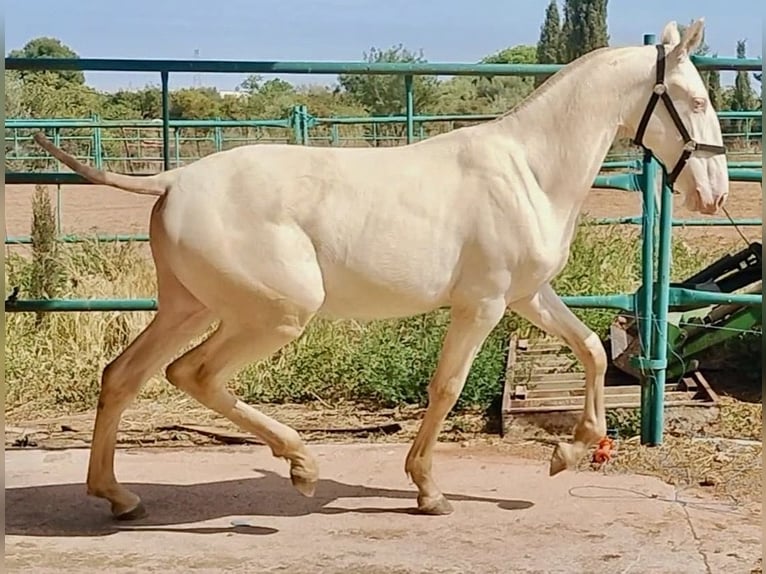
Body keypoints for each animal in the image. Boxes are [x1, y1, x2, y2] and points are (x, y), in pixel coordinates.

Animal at [34, 19, 732, 520]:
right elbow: (446, 387)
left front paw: (570, 451)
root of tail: (173, 181)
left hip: (190, 306)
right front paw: (428, 490)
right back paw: (301, 465)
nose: (714, 194)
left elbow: (588, 347)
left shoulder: (528, 295)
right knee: (193, 374)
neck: (529, 171)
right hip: (275, 315)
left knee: (122, 375)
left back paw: (118, 496)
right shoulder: (481, 304)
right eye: (695, 99)